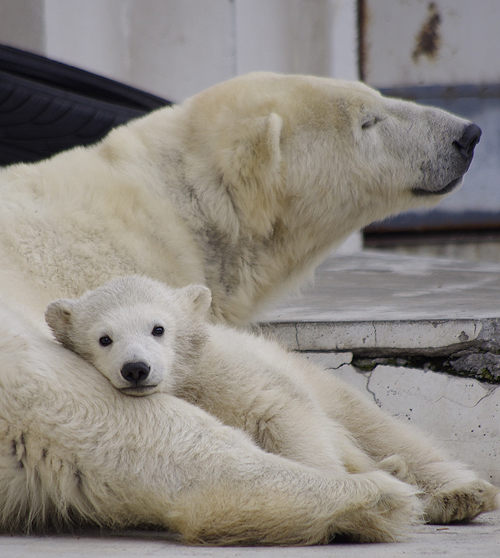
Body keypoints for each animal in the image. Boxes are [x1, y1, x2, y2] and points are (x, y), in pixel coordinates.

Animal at [0, 71, 492, 548]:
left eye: (375, 96)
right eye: (367, 121)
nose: (467, 135)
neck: (171, 203)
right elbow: (312, 390)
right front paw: (455, 487)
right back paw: (379, 493)